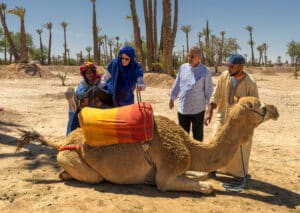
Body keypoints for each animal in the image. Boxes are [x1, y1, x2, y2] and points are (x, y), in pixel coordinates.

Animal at [16, 96, 278, 195]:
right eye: (259, 106)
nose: (274, 110)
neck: (189, 147)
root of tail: (63, 142)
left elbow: (197, 176)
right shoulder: (168, 172)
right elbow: (205, 187)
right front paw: (207, 185)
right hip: (73, 160)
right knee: (82, 176)